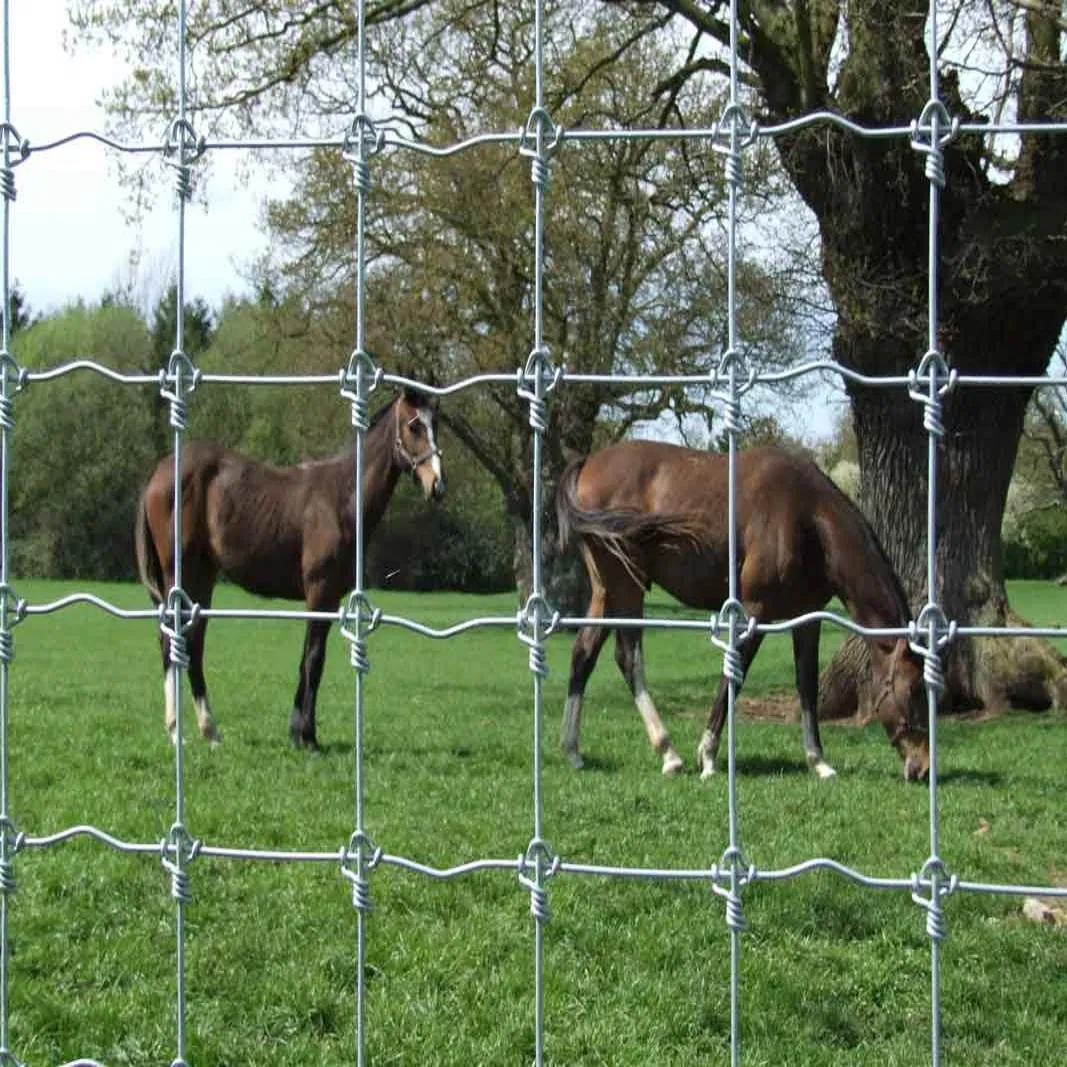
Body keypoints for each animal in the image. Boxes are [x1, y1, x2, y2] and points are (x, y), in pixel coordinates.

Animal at [135, 386, 445, 751]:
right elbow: (313, 660)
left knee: (192, 642)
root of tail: (160, 471)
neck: (343, 497)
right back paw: (175, 731)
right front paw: (306, 735)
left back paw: (209, 731)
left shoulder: (331, 598)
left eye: (435, 425)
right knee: (172, 639)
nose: (437, 485)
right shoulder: (320, 594)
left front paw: (299, 733)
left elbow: (309, 661)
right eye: (414, 426)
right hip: (178, 574)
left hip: (202, 577)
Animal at [555, 440, 930, 782]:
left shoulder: (807, 619)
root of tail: (588, 463)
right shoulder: (755, 611)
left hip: (605, 593)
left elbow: (807, 685)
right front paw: (707, 756)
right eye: (914, 689)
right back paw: (669, 753)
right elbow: (734, 676)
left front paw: (818, 761)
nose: (923, 767)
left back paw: (573, 751)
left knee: (582, 654)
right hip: (627, 587)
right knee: (628, 657)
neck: (808, 517)